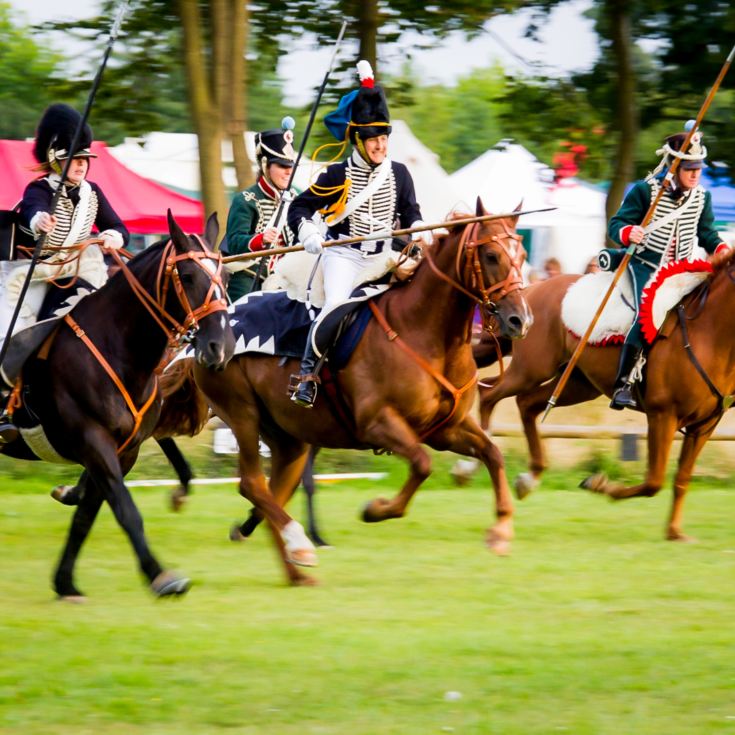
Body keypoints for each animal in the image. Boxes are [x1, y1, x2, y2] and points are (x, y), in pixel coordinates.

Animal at [0, 211, 234, 600]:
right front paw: (162, 576)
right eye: (187, 276)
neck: (117, 347)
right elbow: (127, 510)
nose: (221, 347)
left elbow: (86, 517)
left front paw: (65, 582)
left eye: (225, 275)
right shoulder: (94, 443)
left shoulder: (124, 451)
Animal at [180, 203, 532, 588]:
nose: (520, 320)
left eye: (522, 255)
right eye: (491, 255)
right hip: (243, 416)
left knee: (274, 490)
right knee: (252, 484)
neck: (424, 332)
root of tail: (205, 332)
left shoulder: (445, 429)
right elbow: (421, 465)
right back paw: (297, 546)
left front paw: (500, 530)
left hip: (289, 439)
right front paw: (375, 509)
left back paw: (293, 563)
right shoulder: (378, 424)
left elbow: (492, 454)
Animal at [478, 258, 735, 540]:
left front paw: (675, 532)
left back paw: (529, 478)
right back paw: (473, 462)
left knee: (526, 403)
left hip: (577, 384)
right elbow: (654, 482)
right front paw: (598, 484)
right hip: (531, 371)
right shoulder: (663, 415)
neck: (709, 333)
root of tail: (528, 292)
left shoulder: (704, 426)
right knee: (488, 395)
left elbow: (681, 478)